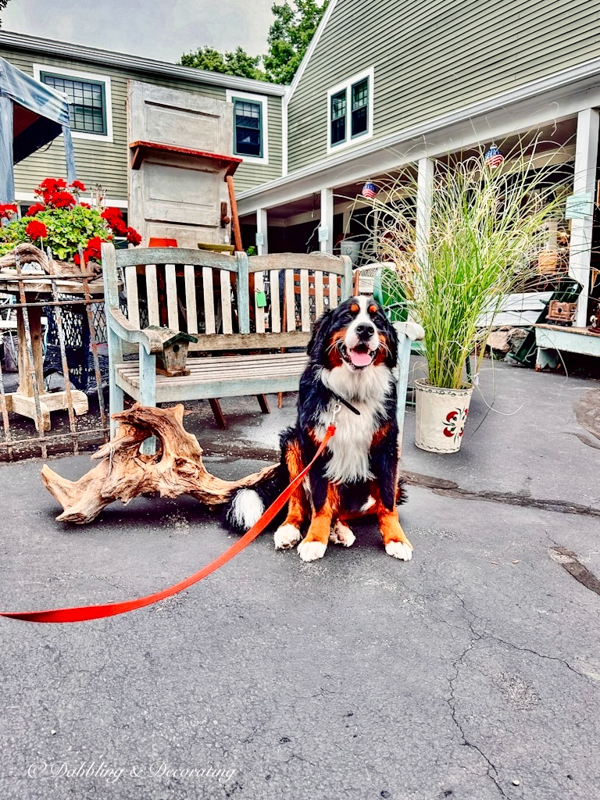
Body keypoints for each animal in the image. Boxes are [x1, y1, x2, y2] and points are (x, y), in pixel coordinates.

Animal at [225, 294, 412, 564]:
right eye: (347, 316)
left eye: (377, 319)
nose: (365, 329)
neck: (352, 394)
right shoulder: (315, 446)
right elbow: (320, 502)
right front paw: (314, 539)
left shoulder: (387, 449)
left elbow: (387, 502)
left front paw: (396, 539)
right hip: (292, 444)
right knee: (299, 501)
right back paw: (291, 529)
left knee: (349, 509)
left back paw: (340, 529)